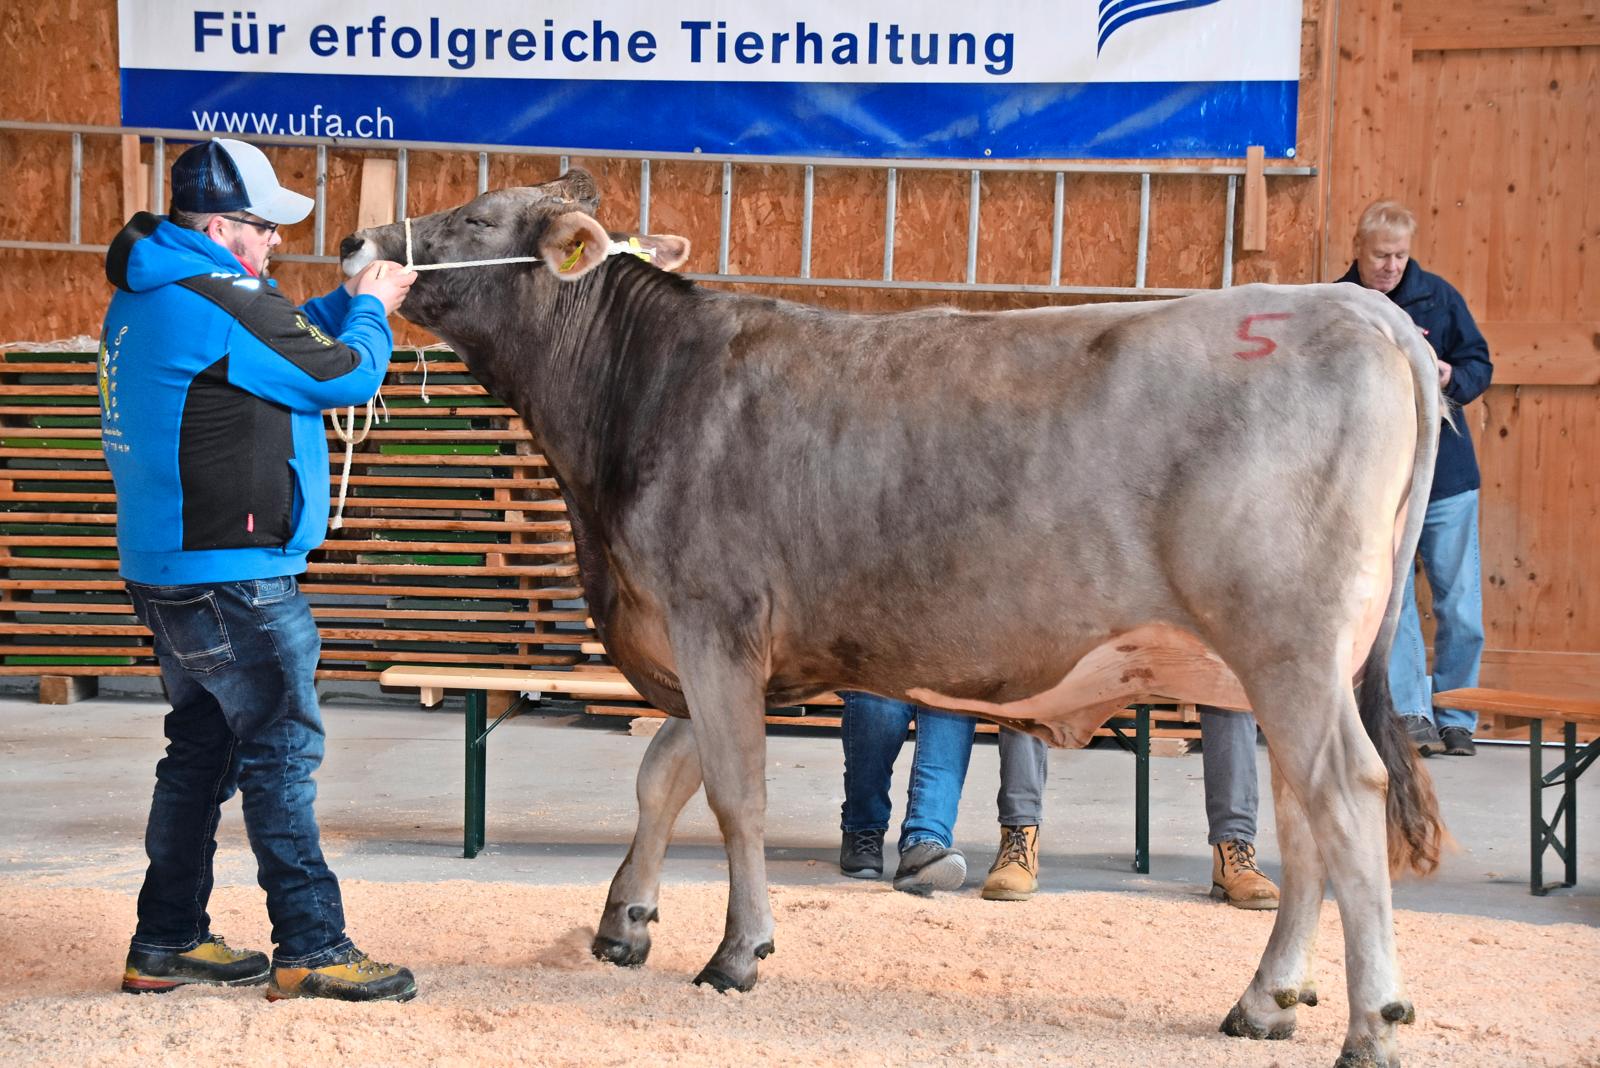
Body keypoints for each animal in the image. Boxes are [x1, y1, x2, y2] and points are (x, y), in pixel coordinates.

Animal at [342, 169, 1444, 1068]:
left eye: (474, 217)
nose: (358, 241)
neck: (635, 400)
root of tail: (1356, 307)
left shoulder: (713, 620)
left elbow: (733, 794)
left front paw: (736, 952)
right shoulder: (713, 645)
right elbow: (662, 774)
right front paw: (625, 923)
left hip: (1287, 642)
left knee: (1345, 796)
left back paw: (1371, 1025)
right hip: (1282, 666)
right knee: (1303, 817)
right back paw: (1266, 1002)